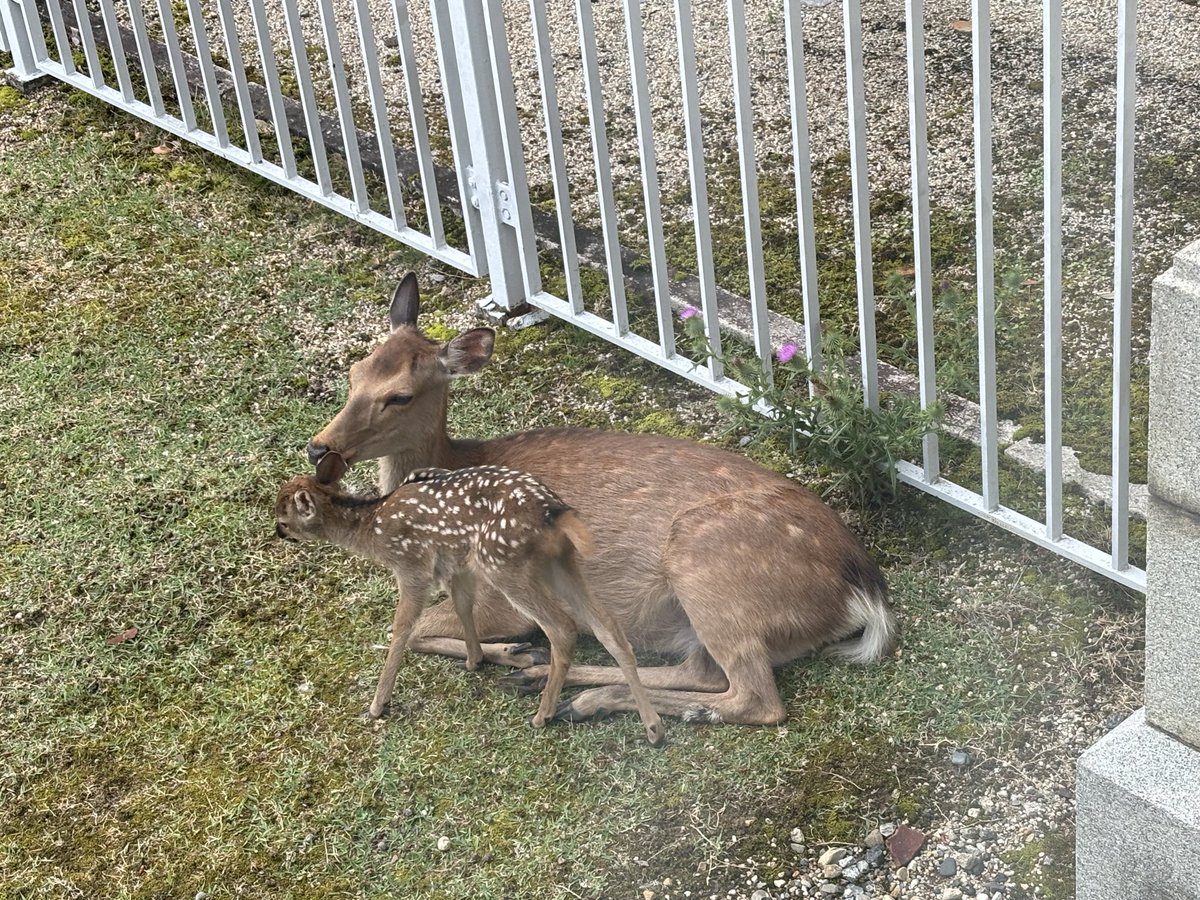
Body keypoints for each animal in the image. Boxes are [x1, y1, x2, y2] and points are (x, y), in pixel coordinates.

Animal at [274, 456, 667, 746]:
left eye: (283, 516)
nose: (277, 532)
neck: (370, 526)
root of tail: (552, 511)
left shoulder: (412, 568)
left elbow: (402, 629)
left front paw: (376, 705)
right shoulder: (457, 565)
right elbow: (464, 607)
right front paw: (475, 659)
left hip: (504, 564)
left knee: (562, 628)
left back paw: (543, 714)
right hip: (561, 561)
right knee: (608, 627)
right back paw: (653, 729)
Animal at [303, 272, 897, 727]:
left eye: (399, 395)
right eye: (355, 371)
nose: (318, 447)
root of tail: (865, 591)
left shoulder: (499, 596)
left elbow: (415, 631)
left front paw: (510, 651)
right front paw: (518, 657)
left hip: (709, 567)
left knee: (757, 698)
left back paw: (582, 695)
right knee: (701, 671)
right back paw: (555, 682)